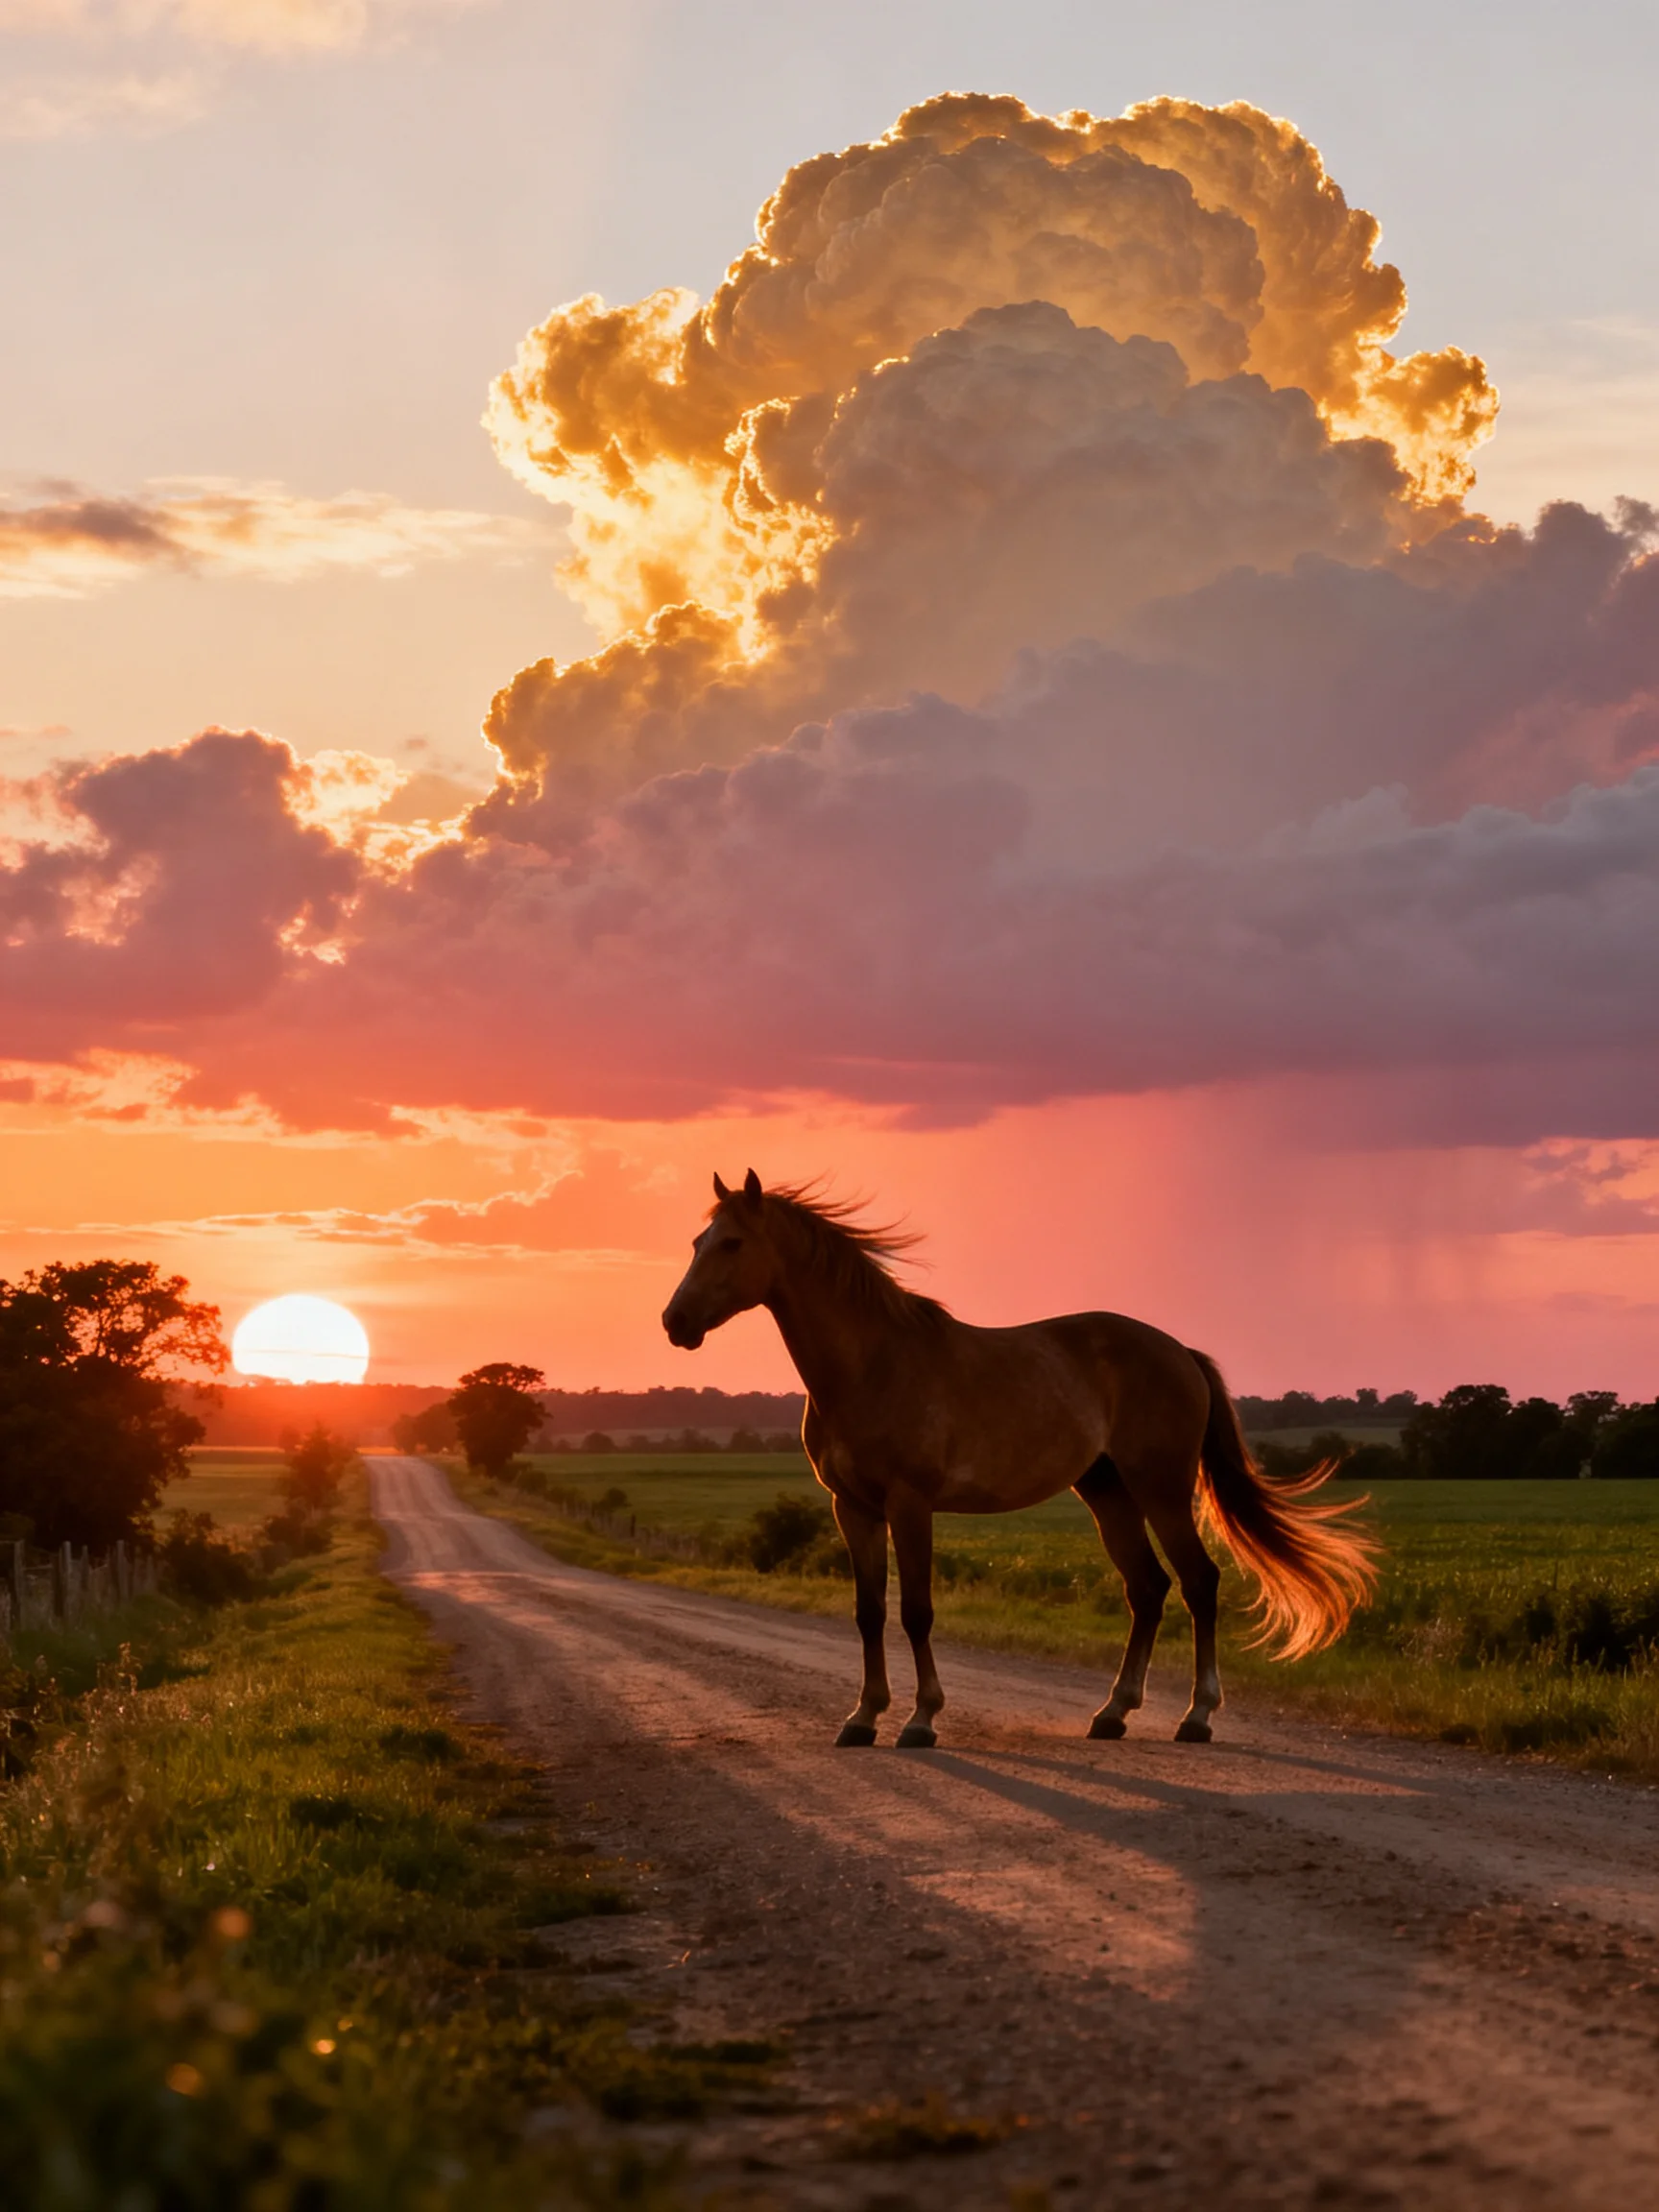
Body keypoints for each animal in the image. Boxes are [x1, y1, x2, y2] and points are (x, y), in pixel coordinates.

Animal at [662, 1171, 1378, 1749]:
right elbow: (869, 1613)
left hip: (1162, 1489)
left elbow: (916, 1610)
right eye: (696, 1243)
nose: (675, 1323)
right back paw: (1113, 1713)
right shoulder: (854, 1509)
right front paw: (862, 1719)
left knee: (1199, 1583)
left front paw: (922, 1719)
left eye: (731, 1244)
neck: (871, 1365)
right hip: (1108, 1493)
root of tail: (1179, 1351)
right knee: (1148, 1589)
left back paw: (1197, 1717)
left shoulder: (910, 1504)